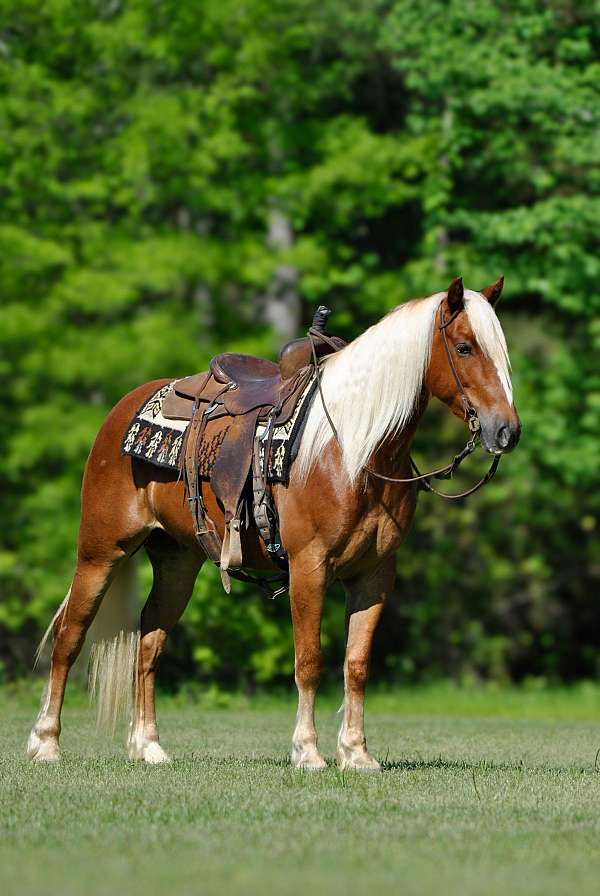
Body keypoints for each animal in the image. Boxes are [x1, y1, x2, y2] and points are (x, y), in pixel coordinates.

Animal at [27, 277, 520, 769]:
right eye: (464, 347)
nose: (507, 431)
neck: (353, 450)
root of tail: (123, 409)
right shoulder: (309, 566)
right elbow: (309, 662)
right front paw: (308, 752)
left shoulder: (376, 574)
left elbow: (356, 665)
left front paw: (356, 753)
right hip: (101, 551)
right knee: (69, 635)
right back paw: (46, 742)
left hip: (177, 561)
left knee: (149, 642)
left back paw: (148, 745)